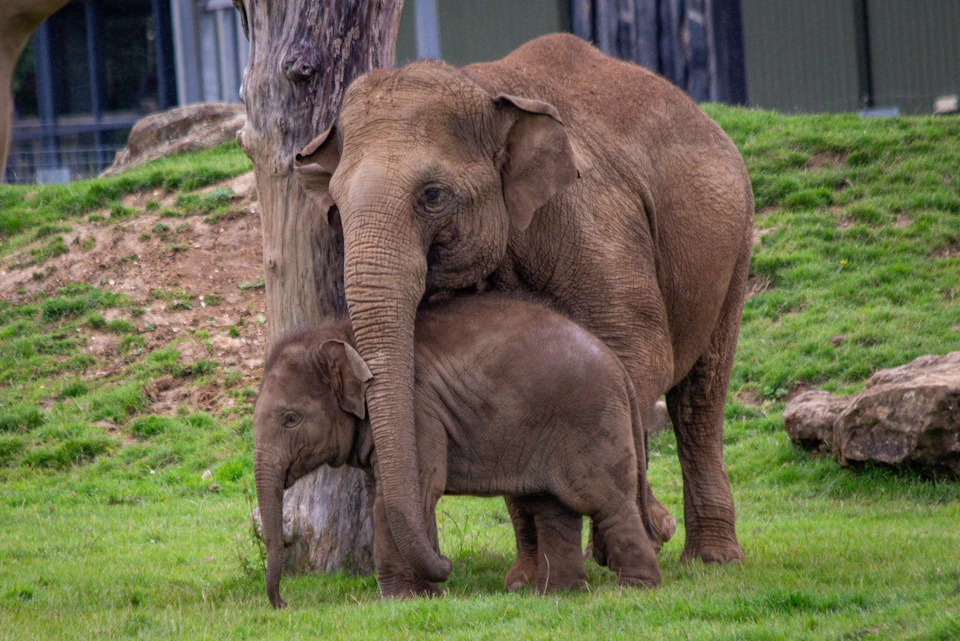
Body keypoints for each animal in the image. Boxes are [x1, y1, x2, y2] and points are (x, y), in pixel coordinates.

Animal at [254, 294, 662, 607]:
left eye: (290, 419)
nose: (283, 603)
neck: (343, 337)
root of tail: (617, 366)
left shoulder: (419, 413)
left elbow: (402, 496)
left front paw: (403, 600)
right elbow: (389, 496)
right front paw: (424, 594)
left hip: (591, 421)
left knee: (604, 500)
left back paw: (635, 590)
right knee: (553, 507)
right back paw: (556, 594)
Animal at [294, 33, 754, 582]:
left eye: (433, 195)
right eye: (335, 209)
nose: (445, 564)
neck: (484, 90)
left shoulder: (593, 220)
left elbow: (638, 354)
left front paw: (633, 540)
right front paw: (525, 580)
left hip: (734, 246)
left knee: (699, 397)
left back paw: (712, 558)